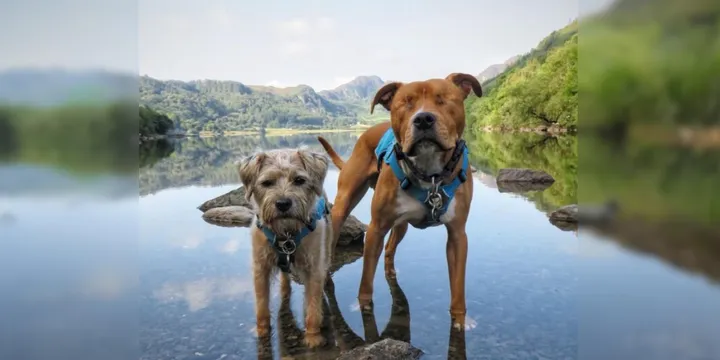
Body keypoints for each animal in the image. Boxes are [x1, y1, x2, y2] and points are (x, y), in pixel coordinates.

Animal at [239, 148, 334, 348]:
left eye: (299, 180)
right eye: (267, 182)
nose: (283, 203)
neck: (286, 233)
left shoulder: (314, 268)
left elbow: (313, 306)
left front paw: (313, 337)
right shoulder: (260, 268)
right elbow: (261, 305)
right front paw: (261, 332)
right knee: (285, 277)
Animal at [316, 72, 480, 330]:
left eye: (443, 99)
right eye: (406, 103)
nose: (423, 119)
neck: (430, 175)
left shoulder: (457, 235)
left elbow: (458, 288)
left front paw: (460, 320)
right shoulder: (375, 229)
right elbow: (366, 280)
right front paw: (363, 307)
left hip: (401, 225)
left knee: (390, 248)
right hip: (343, 205)